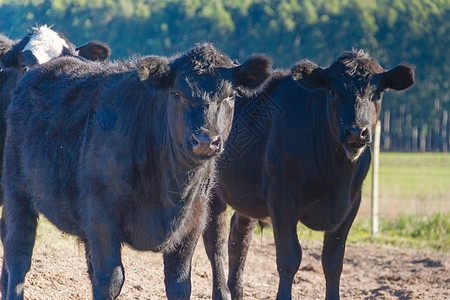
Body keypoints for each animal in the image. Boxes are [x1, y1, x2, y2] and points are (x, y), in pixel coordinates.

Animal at [204, 49, 414, 300]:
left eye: (378, 92)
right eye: (332, 91)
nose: (355, 132)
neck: (336, 177)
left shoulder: (351, 205)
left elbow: (333, 262)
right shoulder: (282, 200)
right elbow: (289, 258)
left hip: (247, 198)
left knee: (239, 241)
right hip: (212, 192)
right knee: (215, 244)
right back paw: (221, 292)